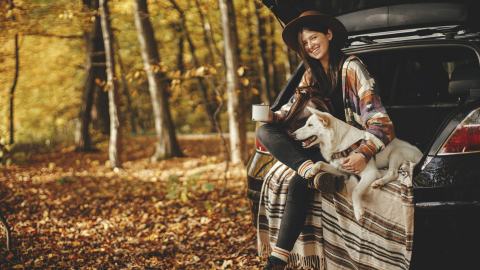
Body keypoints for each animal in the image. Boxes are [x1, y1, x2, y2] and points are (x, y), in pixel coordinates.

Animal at [290, 106, 422, 220]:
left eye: (310, 125)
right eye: (306, 124)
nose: (292, 134)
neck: (341, 144)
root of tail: (421, 154)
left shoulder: (370, 173)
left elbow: (355, 191)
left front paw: (358, 211)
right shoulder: (341, 171)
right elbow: (320, 163)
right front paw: (310, 170)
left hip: (396, 152)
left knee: (393, 173)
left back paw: (379, 182)